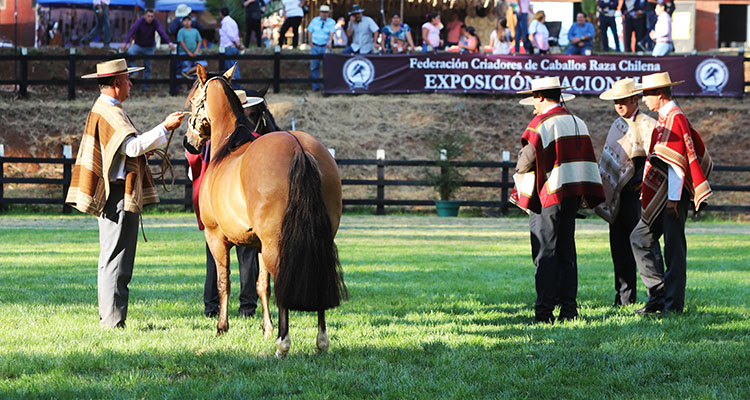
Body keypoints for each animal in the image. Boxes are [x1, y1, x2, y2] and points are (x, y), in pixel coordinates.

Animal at [185, 64, 346, 358]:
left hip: (276, 242)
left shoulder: (216, 237)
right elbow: (262, 285)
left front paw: (222, 327)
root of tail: (299, 148)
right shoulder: (258, 245)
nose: (189, 143)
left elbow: (223, 282)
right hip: (318, 239)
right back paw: (320, 341)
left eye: (193, 100)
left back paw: (283, 344)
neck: (229, 144)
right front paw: (266, 329)